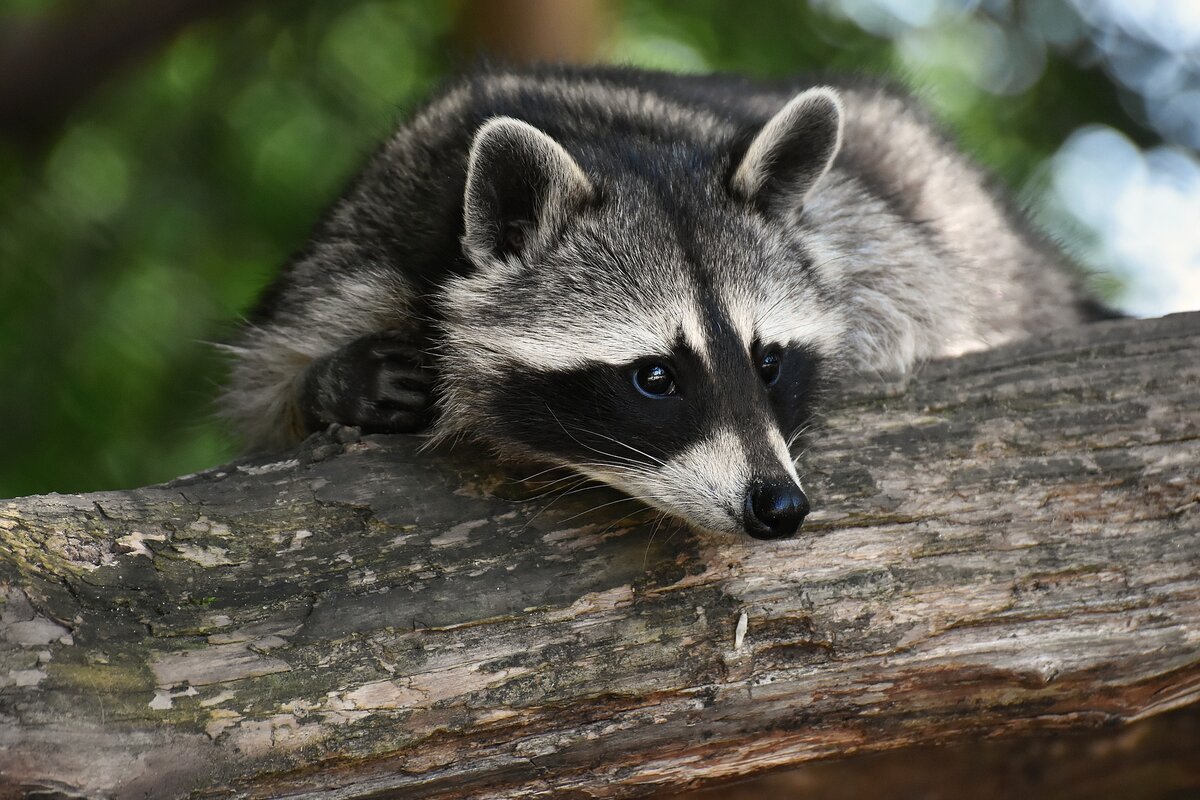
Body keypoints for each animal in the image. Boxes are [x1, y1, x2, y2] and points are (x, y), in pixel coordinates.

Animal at [223, 62, 1104, 537]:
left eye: (769, 362)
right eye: (655, 377)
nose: (779, 507)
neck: (608, 142)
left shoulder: (875, 239)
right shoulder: (360, 246)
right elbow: (266, 386)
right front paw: (335, 382)